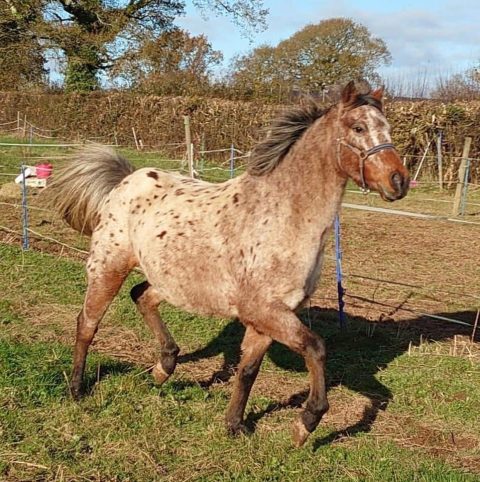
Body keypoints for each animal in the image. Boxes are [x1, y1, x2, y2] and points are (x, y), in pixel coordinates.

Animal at [47, 81, 408, 446]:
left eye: (388, 128)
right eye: (358, 128)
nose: (399, 181)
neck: (283, 216)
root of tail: (126, 180)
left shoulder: (267, 318)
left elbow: (248, 370)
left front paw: (235, 425)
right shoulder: (266, 311)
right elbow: (317, 348)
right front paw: (305, 423)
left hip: (172, 280)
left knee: (141, 296)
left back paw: (164, 368)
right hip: (109, 268)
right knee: (87, 323)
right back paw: (77, 388)